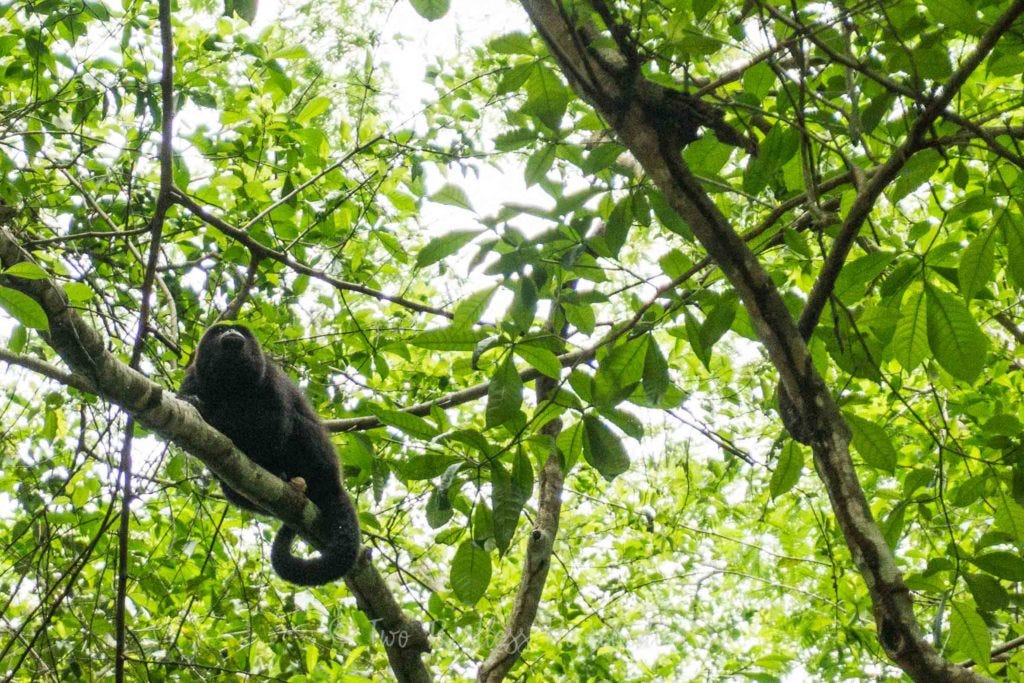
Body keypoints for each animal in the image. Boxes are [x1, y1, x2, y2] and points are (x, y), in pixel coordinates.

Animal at [179, 325, 360, 589]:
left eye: (240, 330)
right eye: (221, 330)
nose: (232, 331)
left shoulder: (270, 377)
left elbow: (272, 423)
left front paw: (209, 413)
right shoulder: (192, 378)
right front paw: (194, 404)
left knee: (298, 425)